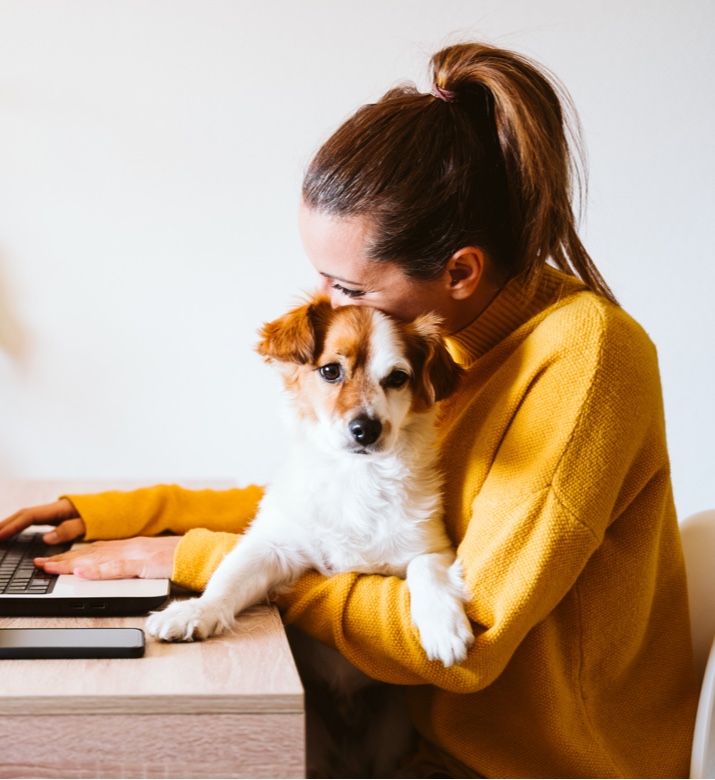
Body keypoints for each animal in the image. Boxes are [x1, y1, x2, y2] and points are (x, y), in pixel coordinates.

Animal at [145, 294, 476, 672]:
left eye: (397, 378)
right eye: (330, 371)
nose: (366, 429)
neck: (355, 477)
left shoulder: (432, 546)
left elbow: (427, 569)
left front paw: (443, 625)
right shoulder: (273, 546)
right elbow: (229, 577)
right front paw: (195, 611)